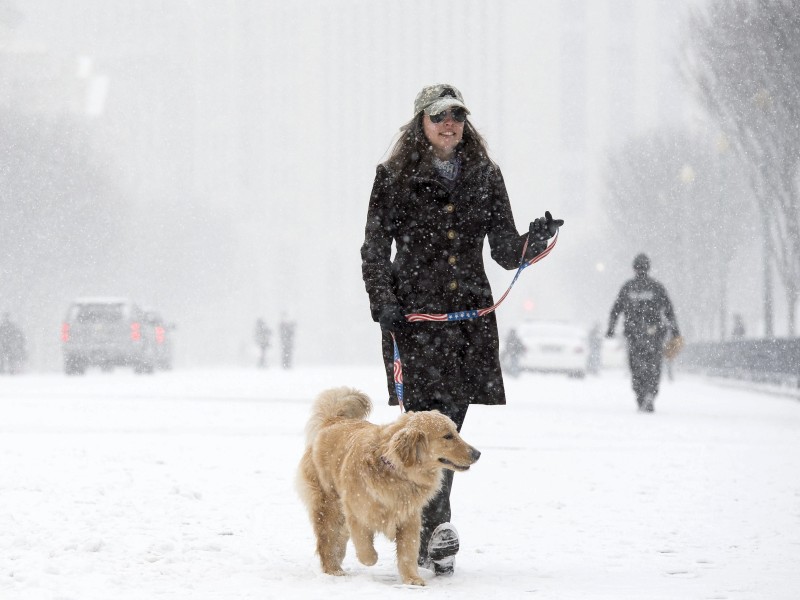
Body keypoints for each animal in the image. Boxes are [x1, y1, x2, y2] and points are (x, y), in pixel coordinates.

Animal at [296, 384, 478, 584]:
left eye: (456, 432)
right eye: (447, 436)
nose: (477, 453)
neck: (395, 470)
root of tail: (333, 420)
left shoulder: (409, 517)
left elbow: (407, 553)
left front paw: (412, 579)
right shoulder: (356, 512)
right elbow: (365, 547)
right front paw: (370, 558)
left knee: (340, 536)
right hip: (328, 505)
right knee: (327, 540)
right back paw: (333, 568)